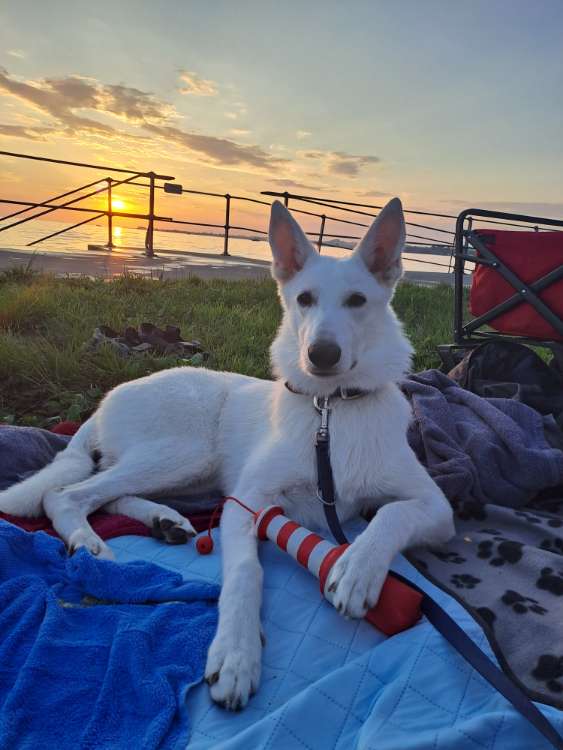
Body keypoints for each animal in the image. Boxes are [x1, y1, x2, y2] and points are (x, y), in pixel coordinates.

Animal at [0, 195, 454, 712]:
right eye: (304, 299)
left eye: (358, 301)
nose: (320, 355)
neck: (330, 410)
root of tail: (104, 400)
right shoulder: (246, 504)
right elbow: (243, 572)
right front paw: (236, 654)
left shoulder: (436, 507)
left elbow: (390, 515)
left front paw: (359, 567)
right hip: (188, 452)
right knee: (68, 494)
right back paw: (89, 543)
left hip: (191, 473)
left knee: (109, 495)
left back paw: (163, 520)